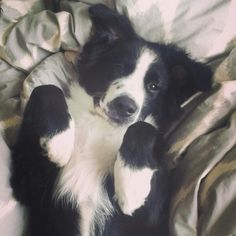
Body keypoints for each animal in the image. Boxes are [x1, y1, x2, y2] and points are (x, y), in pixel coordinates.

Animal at [10, 3, 212, 236]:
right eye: (118, 69)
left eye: (154, 86)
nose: (124, 106)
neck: (102, 124)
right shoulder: (28, 183)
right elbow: (47, 89)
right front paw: (59, 141)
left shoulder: (152, 213)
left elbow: (142, 127)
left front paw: (132, 182)